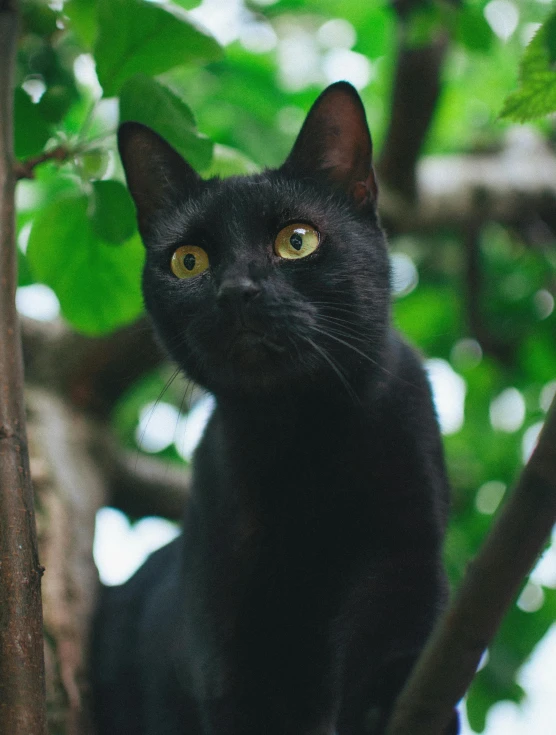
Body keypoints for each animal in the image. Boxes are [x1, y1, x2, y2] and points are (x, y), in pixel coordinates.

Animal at [90, 83, 456, 732]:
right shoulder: (226, 630)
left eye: (296, 241)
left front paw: (379, 703)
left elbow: (391, 643)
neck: (300, 435)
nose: (237, 290)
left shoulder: (404, 559)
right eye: (189, 261)